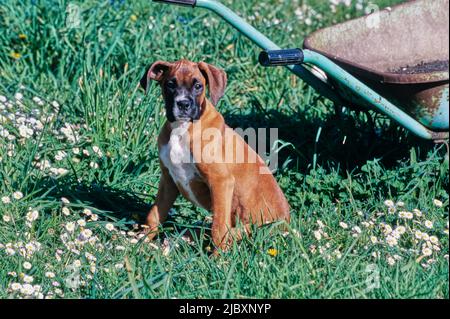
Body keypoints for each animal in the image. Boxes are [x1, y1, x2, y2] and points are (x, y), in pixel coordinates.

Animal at [139, 59, 290, 250]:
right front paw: (141, 241)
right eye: (170, 85)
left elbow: (218, 229)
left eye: (198, 86)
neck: (182, 128)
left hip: (255, 228)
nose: (183, 104)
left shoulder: (221, 182)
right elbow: (154, 214)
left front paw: (219, 257)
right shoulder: (168, 180)